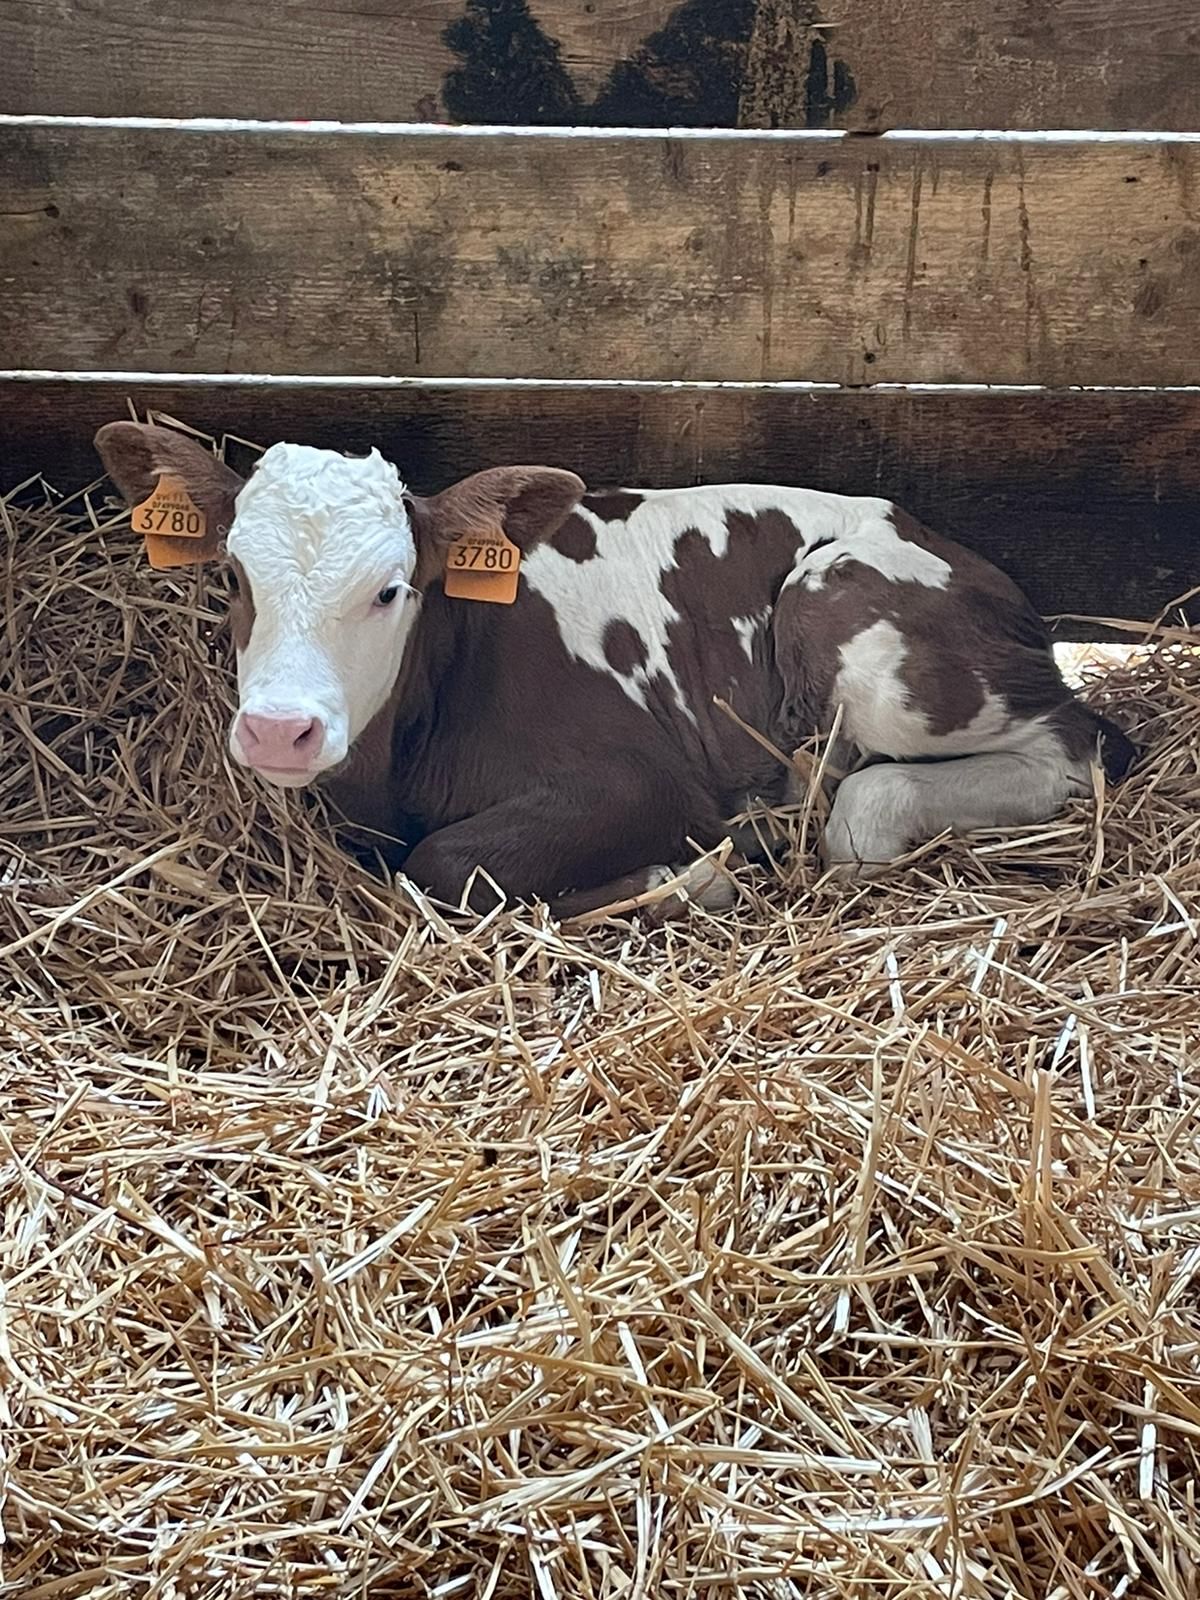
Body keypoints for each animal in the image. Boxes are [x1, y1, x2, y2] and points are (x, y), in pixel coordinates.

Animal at [95, 422, 1135, 921]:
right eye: (234, 576)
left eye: (392, 589)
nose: (280, 729)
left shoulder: (640, 778)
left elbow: (447, 865)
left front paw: (688, 878)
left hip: (849, 623)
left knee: (1058, 747)